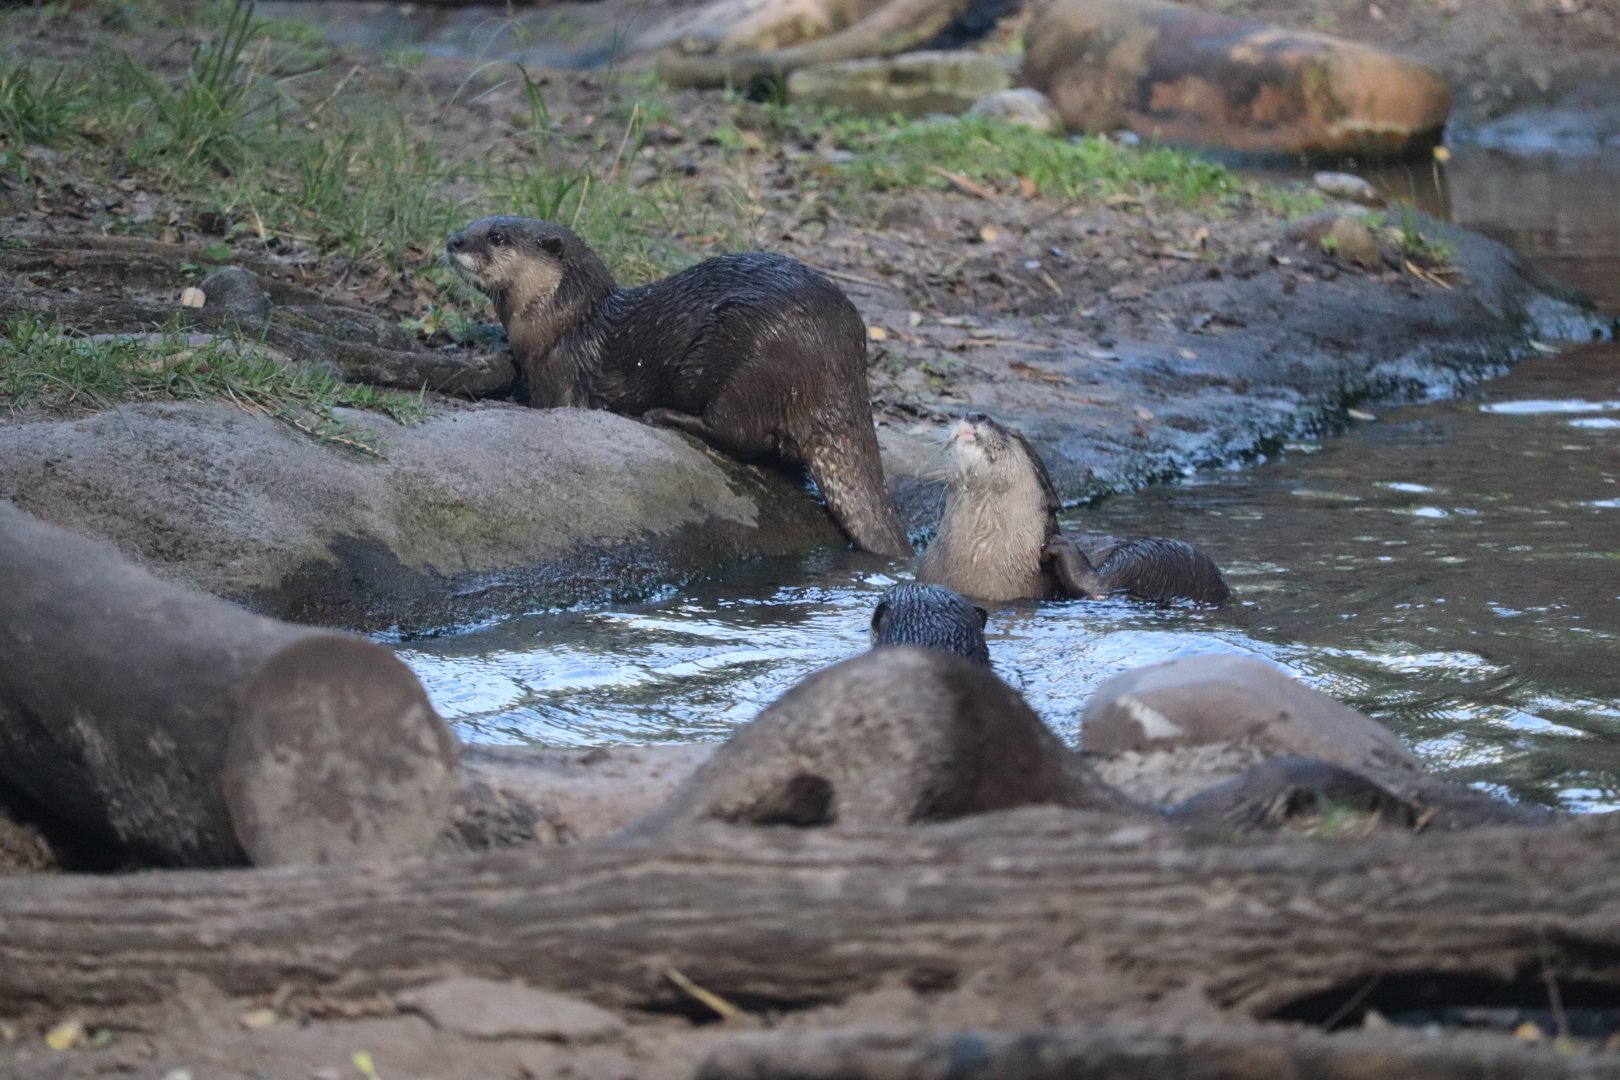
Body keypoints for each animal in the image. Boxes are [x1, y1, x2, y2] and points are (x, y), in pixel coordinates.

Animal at [445, 216, 911, 558]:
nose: (453, 240)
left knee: (741, 434)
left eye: (497, 236)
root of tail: (839, 370)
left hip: (747, 359)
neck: (567, 321)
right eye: (475, 222)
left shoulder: (558, 374)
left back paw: (664, 415)